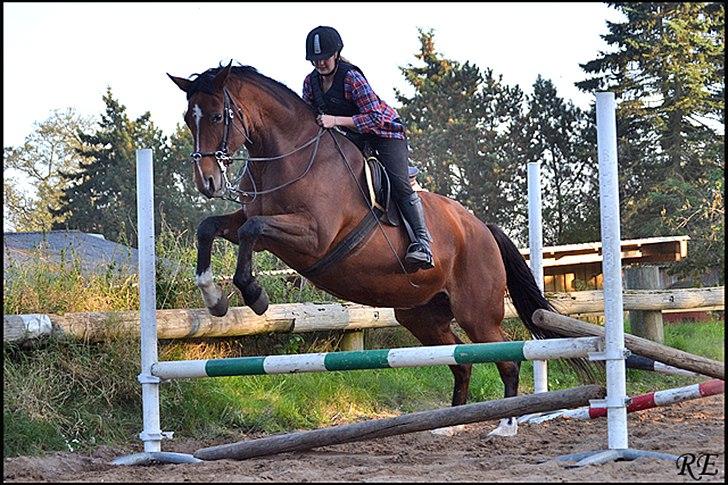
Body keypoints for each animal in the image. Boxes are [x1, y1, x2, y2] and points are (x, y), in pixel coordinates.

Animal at [169, 60, 580, 434]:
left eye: (218, 116)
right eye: (189, 119)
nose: (207, 182)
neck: (291, 156)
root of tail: (483, 229)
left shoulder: (313, 236)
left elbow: (251, 231)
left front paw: (255, 296)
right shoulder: (255, 224)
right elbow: (211, 228)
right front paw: (214, 298)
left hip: (477, 312)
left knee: (507, 360)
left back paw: (506, 425)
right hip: (422, 315)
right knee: (460, 360)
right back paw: (448, 425)